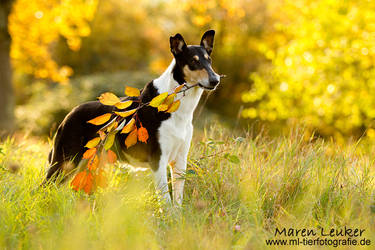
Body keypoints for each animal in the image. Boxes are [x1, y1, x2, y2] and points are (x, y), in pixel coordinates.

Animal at [45, 30, 220, 204]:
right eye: (193, 61)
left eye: (209, 60)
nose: (215, 80)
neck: (177, 105)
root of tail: (68, 115)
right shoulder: (158, 160)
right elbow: (166, 201)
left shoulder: (180, 160)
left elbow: (177, 201)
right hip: (65, 162)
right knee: (44, 188)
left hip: (89, 164)